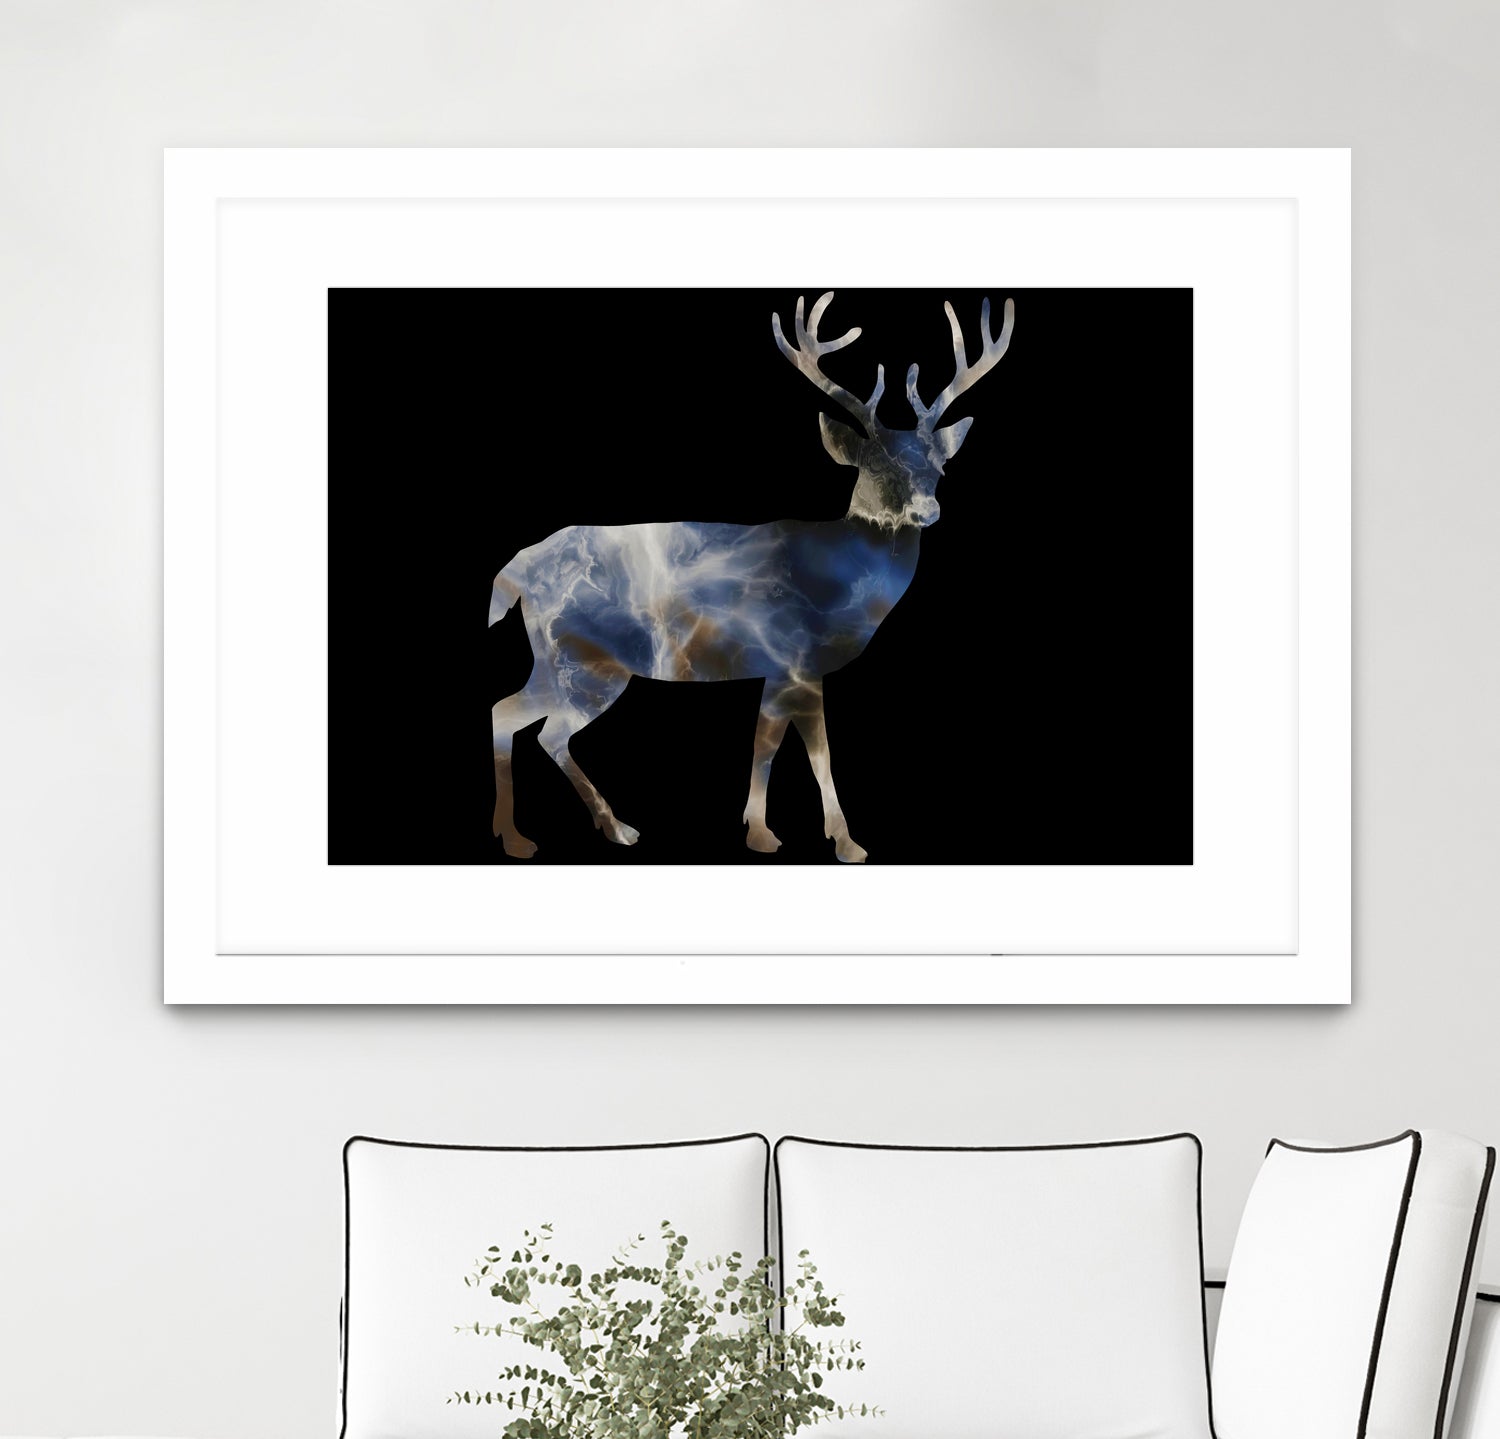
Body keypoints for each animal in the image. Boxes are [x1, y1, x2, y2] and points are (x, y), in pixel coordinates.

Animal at [487, 291, 1014, 862]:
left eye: (940, 467)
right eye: (875, 465)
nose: (928, 509)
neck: (839, 581)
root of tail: (518, 571)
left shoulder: (781, 669)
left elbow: (769, 745)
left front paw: (764, 829)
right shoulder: (796, 660)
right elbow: (807, 752)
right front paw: (834, 840)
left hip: (555, 658)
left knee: (509, 713)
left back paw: (547, 830)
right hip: (585, 660)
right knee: (545, 730)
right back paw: (578, 831)